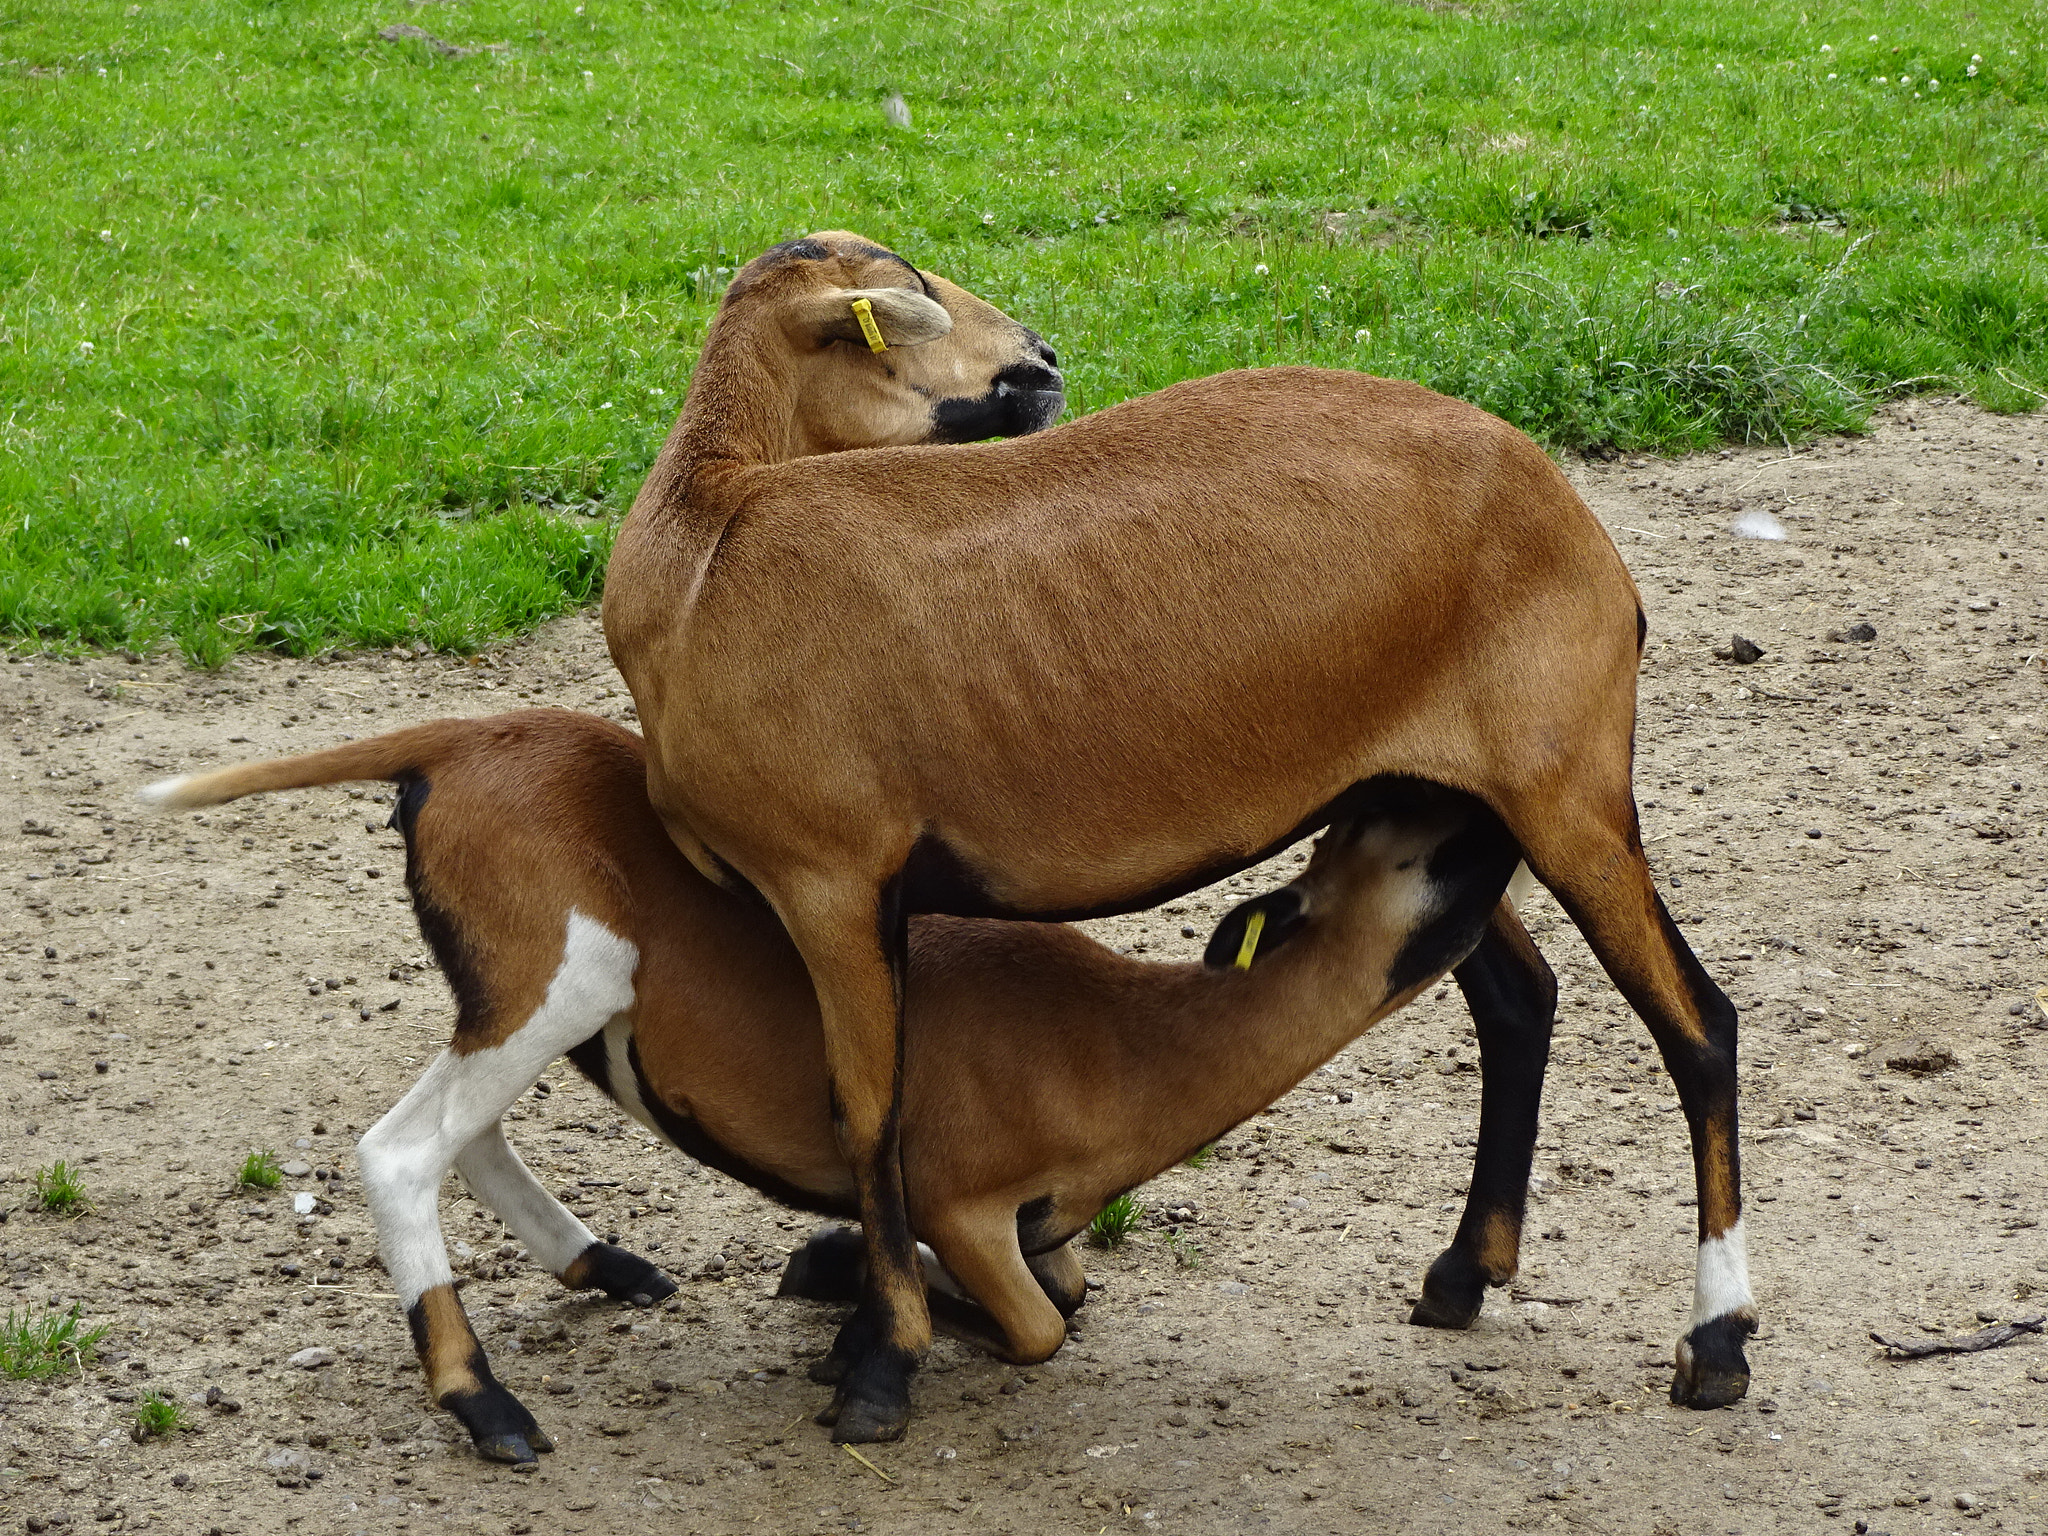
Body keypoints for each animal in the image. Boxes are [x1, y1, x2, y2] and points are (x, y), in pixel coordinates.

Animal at [144, 708, 1562, 1468]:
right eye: (1406, 849)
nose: (1494, 812)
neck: (1129, 1037)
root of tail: (462, 738)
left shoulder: (1031, 1220)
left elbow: (1064, 1291)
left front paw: (837, 1288)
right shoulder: (964, 1199)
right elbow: (1037, 1324)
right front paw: (856, 1325)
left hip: (533, 1000)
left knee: (468, 1137)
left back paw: (607, 1265)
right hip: (560, 975)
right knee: (402, 1151)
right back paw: (486, 1403)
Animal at [600, 231, 1754, 1438]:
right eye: (912, 290)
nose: (1043, 361)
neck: (703, 544)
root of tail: (1574, 520)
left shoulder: (833, 879)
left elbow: (866, 1112)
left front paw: (881, 1363)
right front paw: (879, 1303)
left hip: (1567, 789)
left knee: (1696, 1025)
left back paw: (1716, 1344)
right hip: (1439, 805)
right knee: (1519, 1001)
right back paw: (1461, 1276)